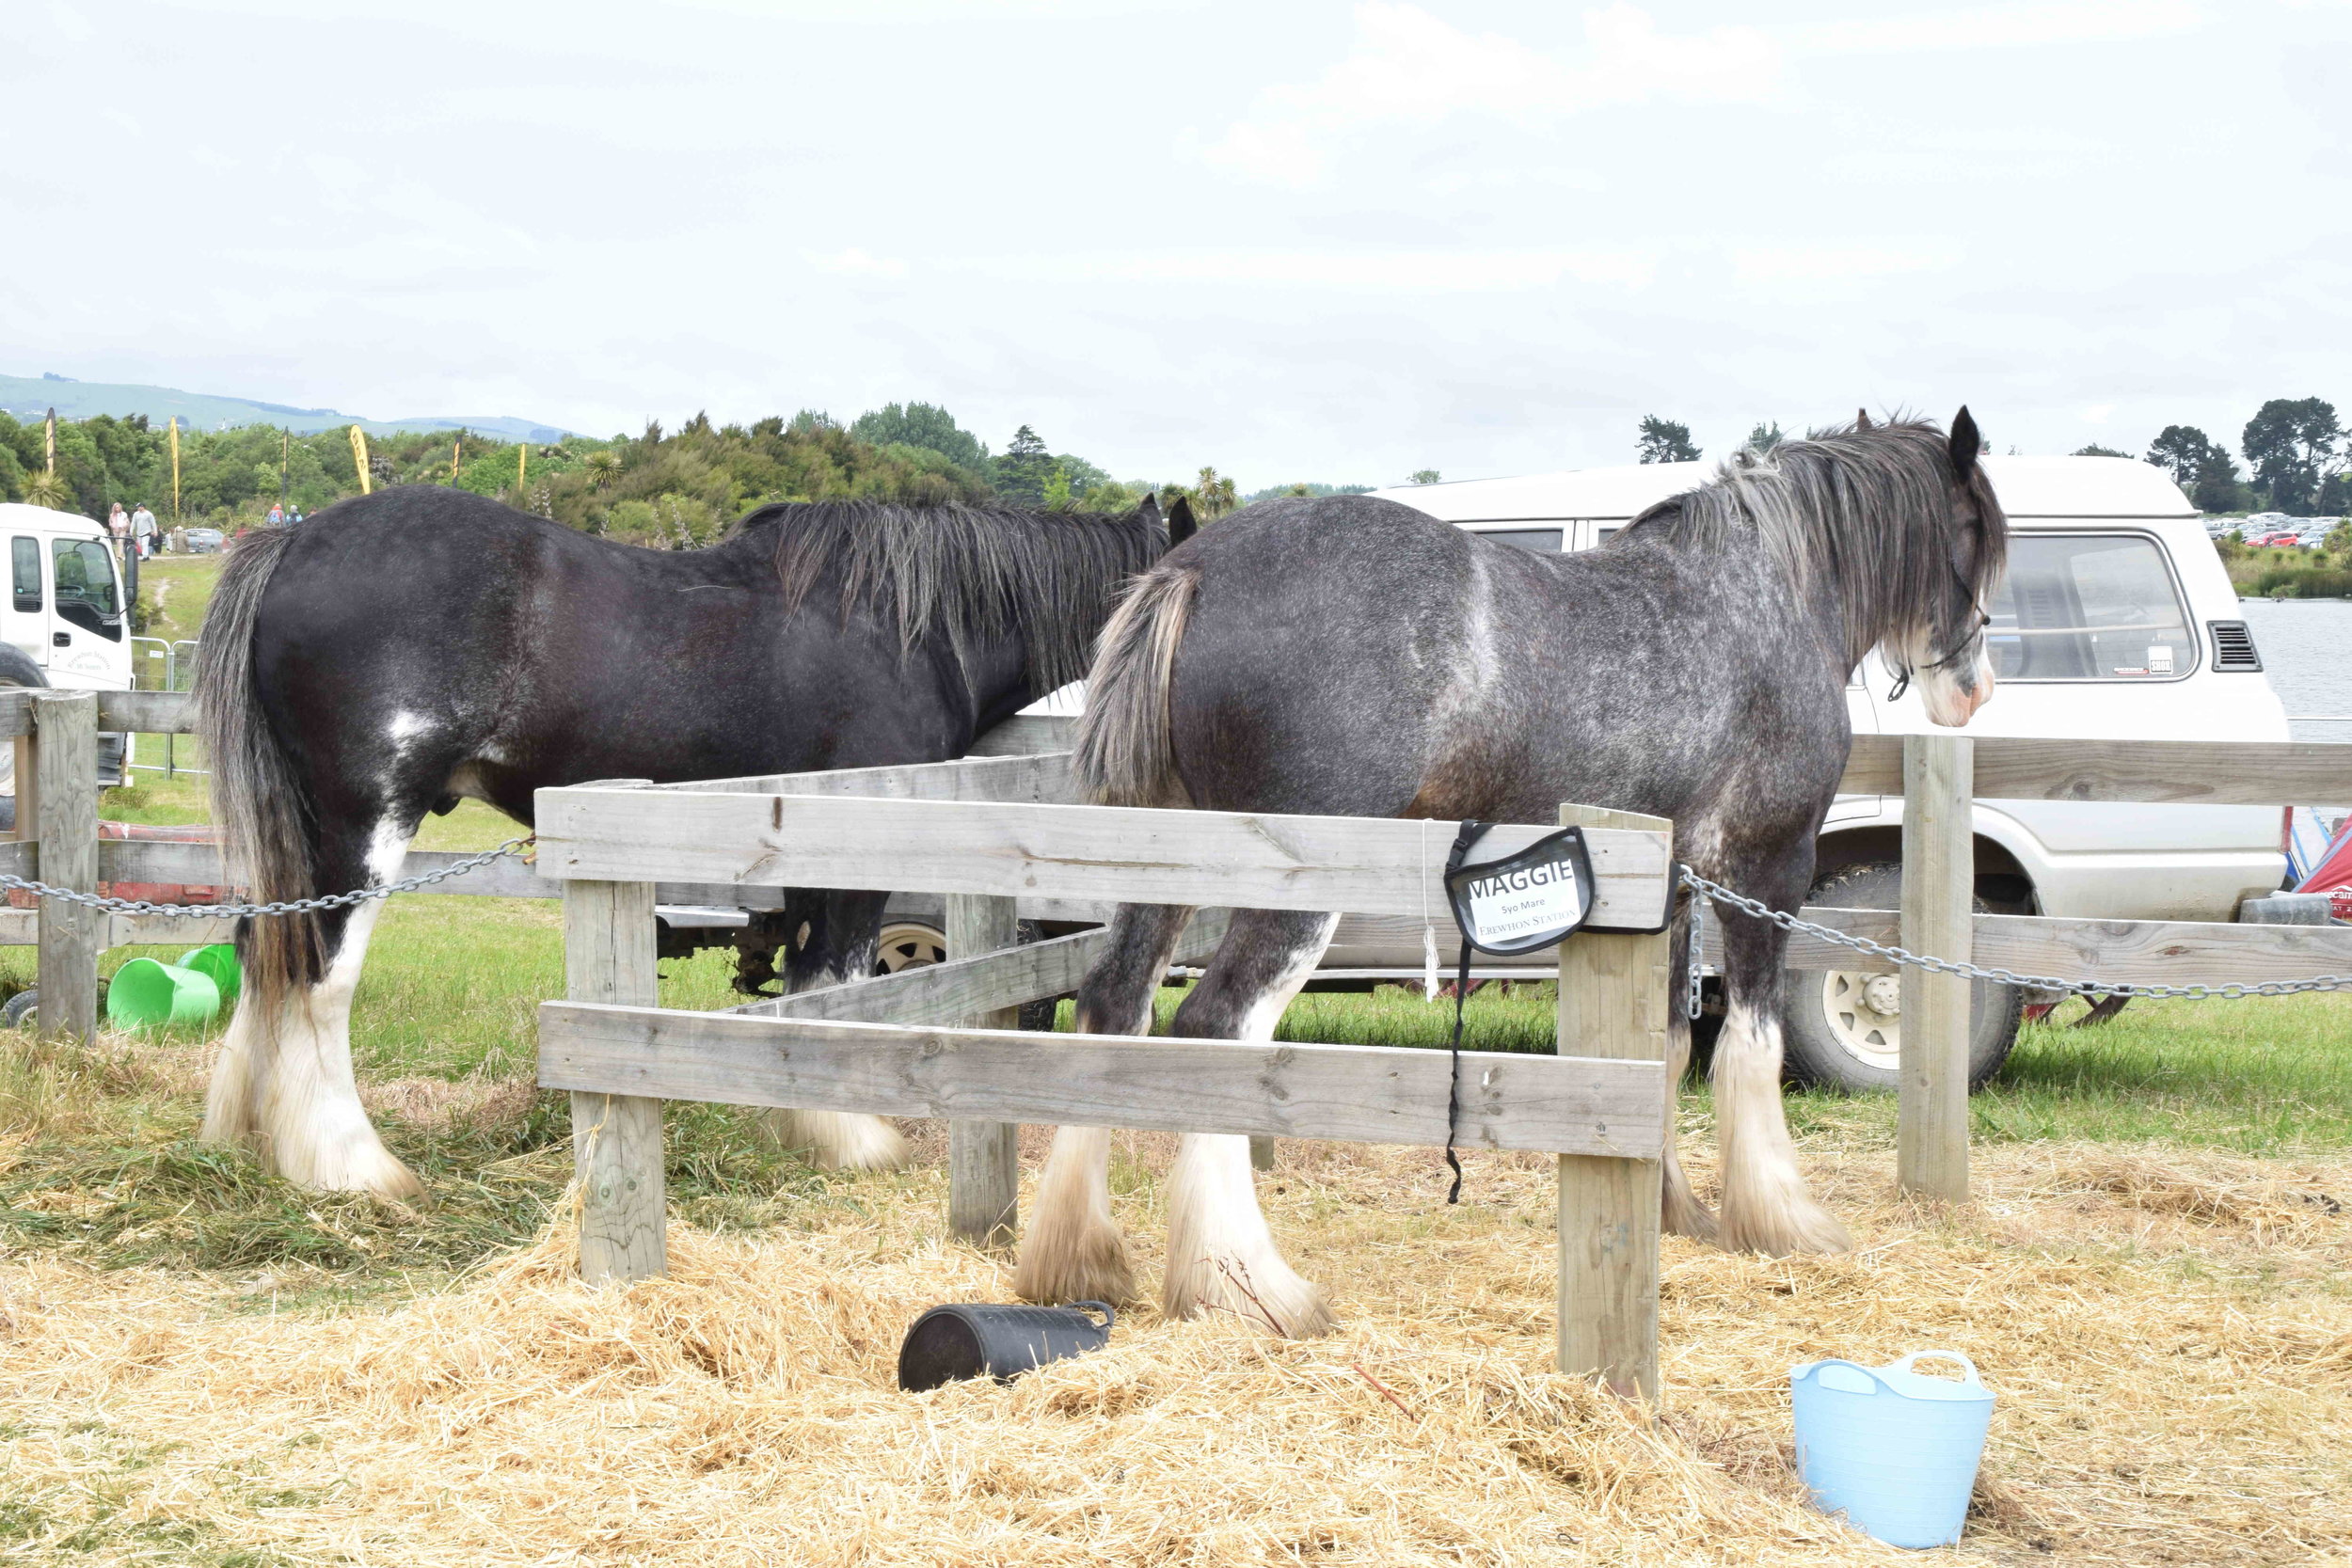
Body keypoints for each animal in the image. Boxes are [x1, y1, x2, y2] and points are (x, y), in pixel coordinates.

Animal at [193, 493, 1176, 1203]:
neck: (909, 627)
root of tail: (292, 542)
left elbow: (809, 985)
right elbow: (842, 976)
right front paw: (853, 1136)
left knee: (260, 951)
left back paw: (242, 1138)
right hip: (366, 827)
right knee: (319, 978)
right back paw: (350, 1165)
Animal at [1011, 411, 2004, 1335]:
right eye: (1977, 532)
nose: (1974, 689)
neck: (1770, 593)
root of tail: (1195, 570)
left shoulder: (1676, 885)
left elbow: (1666, 1047)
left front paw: (1675, 1207)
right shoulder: (1769, 870)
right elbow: (1750, 1047)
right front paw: (1783, 1219)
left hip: (1169, 860)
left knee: (1114, 1003)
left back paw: (1080, 1256)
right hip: (1294, 891)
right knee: (1216, 1026)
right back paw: (1249, 1285)